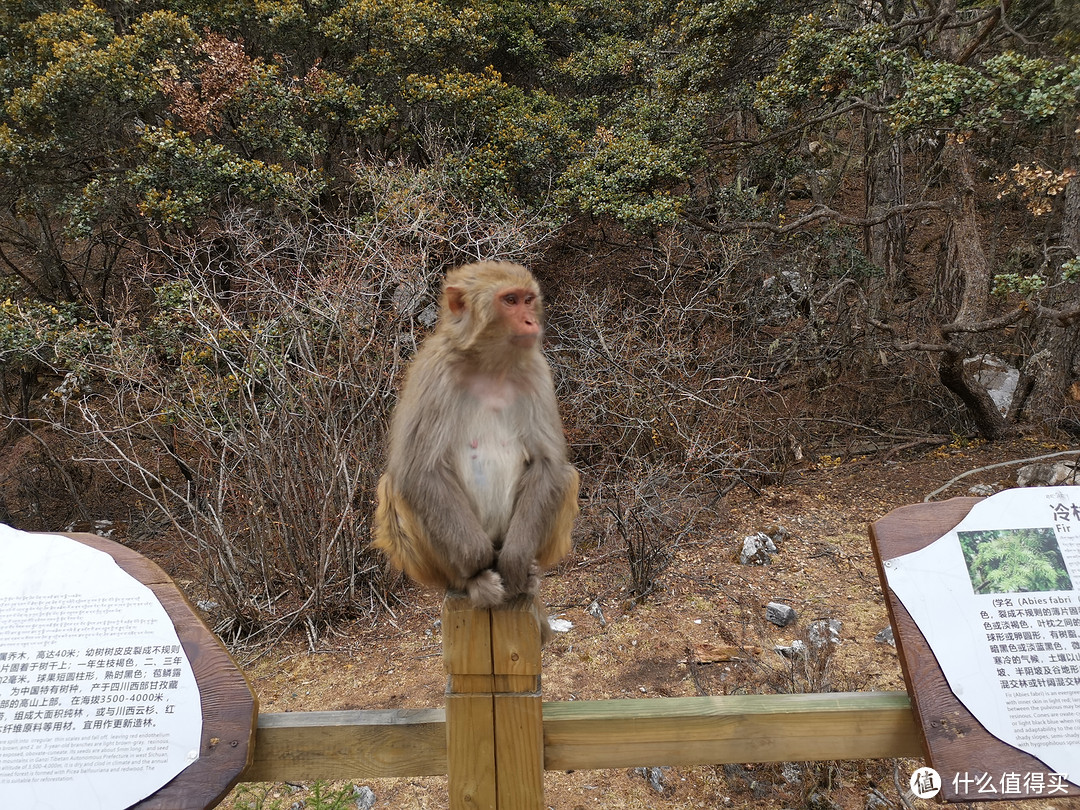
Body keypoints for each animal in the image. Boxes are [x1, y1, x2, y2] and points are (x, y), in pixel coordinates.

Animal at [373, 263, 578, 639]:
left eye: (528, 299)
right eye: (510, 300)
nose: (531, 321)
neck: (491, 366)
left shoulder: (536, 371)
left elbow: (548, 464)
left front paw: (515, 561)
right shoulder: (435, 372)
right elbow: (418, 469)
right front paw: (476, 559)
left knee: (566, 477)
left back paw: (527, 575)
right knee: (394, 487)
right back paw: (472, 581)